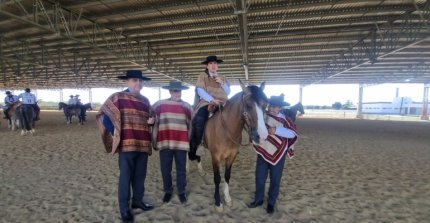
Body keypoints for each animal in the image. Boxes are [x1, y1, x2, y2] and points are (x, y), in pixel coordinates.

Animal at [190, 80, 268, 211]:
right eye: (248, 104)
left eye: (265, 105)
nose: (261, 136)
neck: (225, 128)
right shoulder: (215, 157)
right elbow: (217, 179)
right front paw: (218, 202)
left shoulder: (231, 156)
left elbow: (227, 176)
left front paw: (227, 199)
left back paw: (201, 171)